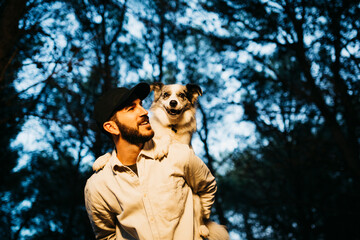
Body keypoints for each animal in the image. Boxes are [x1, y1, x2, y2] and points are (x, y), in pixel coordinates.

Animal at [150, 83, 229, 240]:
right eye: (166, 95)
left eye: (182, 95)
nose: (173, 102)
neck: (172, 126)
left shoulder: (185, 146)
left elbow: (171, 140)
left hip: (196, 199)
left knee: (201, 217)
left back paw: (203, 228)